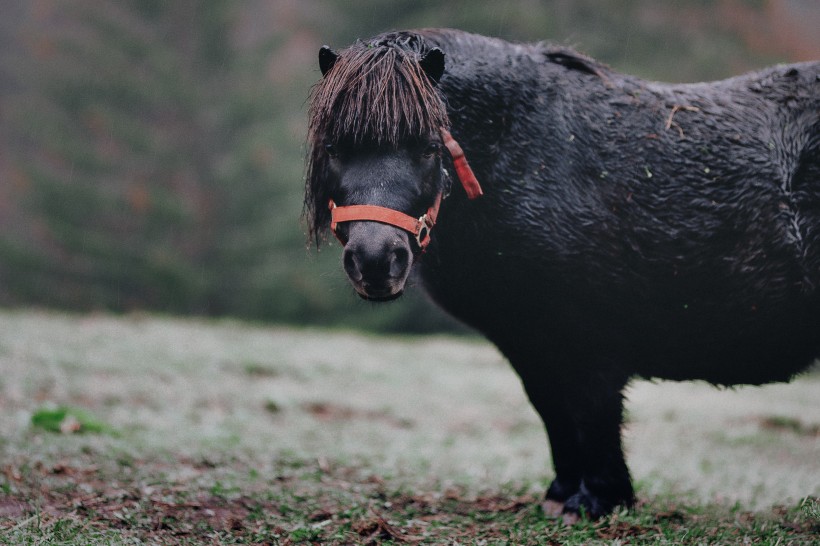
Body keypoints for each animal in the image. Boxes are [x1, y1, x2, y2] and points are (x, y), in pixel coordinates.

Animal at [302, 29, 820, 520]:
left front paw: (598, 501)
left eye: (430, 147)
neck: (529, 154)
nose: (375, 260)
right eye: (333, 146)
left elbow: (592, 415)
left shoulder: (592, 345)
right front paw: (562, 495)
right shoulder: (531, 343)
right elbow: (554, 413)